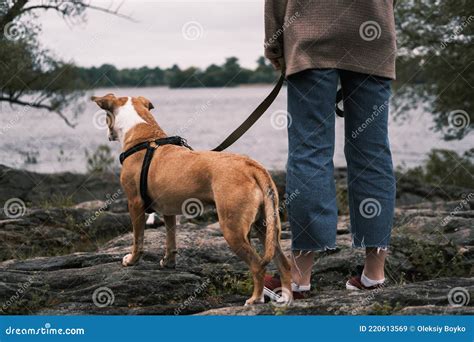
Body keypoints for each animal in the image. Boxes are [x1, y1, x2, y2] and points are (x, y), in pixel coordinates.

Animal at [90, 93, 290, 304]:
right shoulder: (168, 210)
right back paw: (285, 298)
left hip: (233, 228)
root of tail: (251, 166)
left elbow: (138, 238)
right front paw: (168, 262)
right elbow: (171, 240)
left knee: (258, 265)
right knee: (284, 263)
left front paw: (132, 260)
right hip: (265, 226)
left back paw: (255, 299)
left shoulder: (134, 203)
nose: (108, 135)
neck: (144, 135)